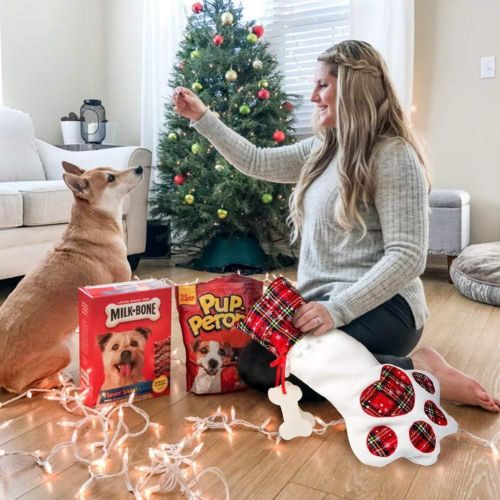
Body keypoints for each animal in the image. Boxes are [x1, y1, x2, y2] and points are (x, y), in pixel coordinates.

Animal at [0, 162, 144, 392]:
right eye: (110, 178)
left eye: (113, 169)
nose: (139, 167)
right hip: (64, 351)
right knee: (31, 386)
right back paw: (59, 379)